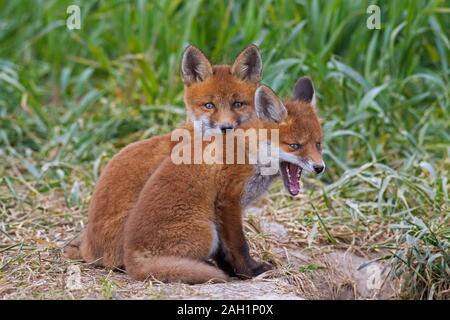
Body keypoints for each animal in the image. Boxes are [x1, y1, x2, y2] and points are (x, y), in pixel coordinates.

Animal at [123, 77, 326, 282]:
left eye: (318, 144)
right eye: (295, 146)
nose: (320, 168)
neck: (252, 152)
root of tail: (130, 259)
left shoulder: (225, 211)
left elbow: (225, 251)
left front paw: (234, 270)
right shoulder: (228, 200)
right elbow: (239, 245)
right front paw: (250, 272)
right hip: (207, 231)